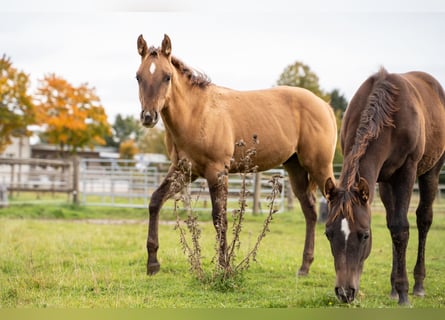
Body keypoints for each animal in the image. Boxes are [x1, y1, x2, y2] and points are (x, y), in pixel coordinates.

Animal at [135, 33, 336, 276]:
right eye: (138, 77)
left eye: (167, 77)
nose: (148, 116)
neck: (196, 113)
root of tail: (325, 106)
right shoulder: (183, 170)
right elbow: (155, 201)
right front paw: (153, 263)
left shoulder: (216, 171)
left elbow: (219, 217)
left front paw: (224, 267)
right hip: (295, 168)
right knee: (310, 211)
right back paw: (304, 267)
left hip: (319, 166)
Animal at [322, 67, 444, 304]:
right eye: (328, 234)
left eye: (365, 235)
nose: (344, 292)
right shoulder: (380, 180)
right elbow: (394, 226)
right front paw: (396, 288)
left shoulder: (407, 171)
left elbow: (401, 228)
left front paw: (404, 293)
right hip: (387, 183)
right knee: (391, 222)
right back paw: (394, 288)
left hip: (431, 172)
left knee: (423, 219)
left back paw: (418, 285)